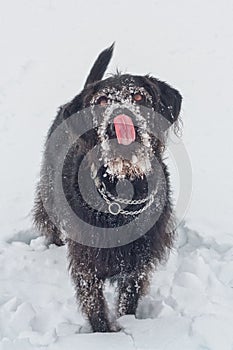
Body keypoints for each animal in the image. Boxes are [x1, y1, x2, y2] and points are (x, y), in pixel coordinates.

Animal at [33, 45, 182, 332]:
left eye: (138, 96)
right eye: (102, 101)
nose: (120, 118)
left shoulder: (139, 259)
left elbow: (129, 298)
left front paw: (126, 322)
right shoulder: (86, 262)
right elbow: (95, 306)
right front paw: (105, 335)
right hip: (49, 195)